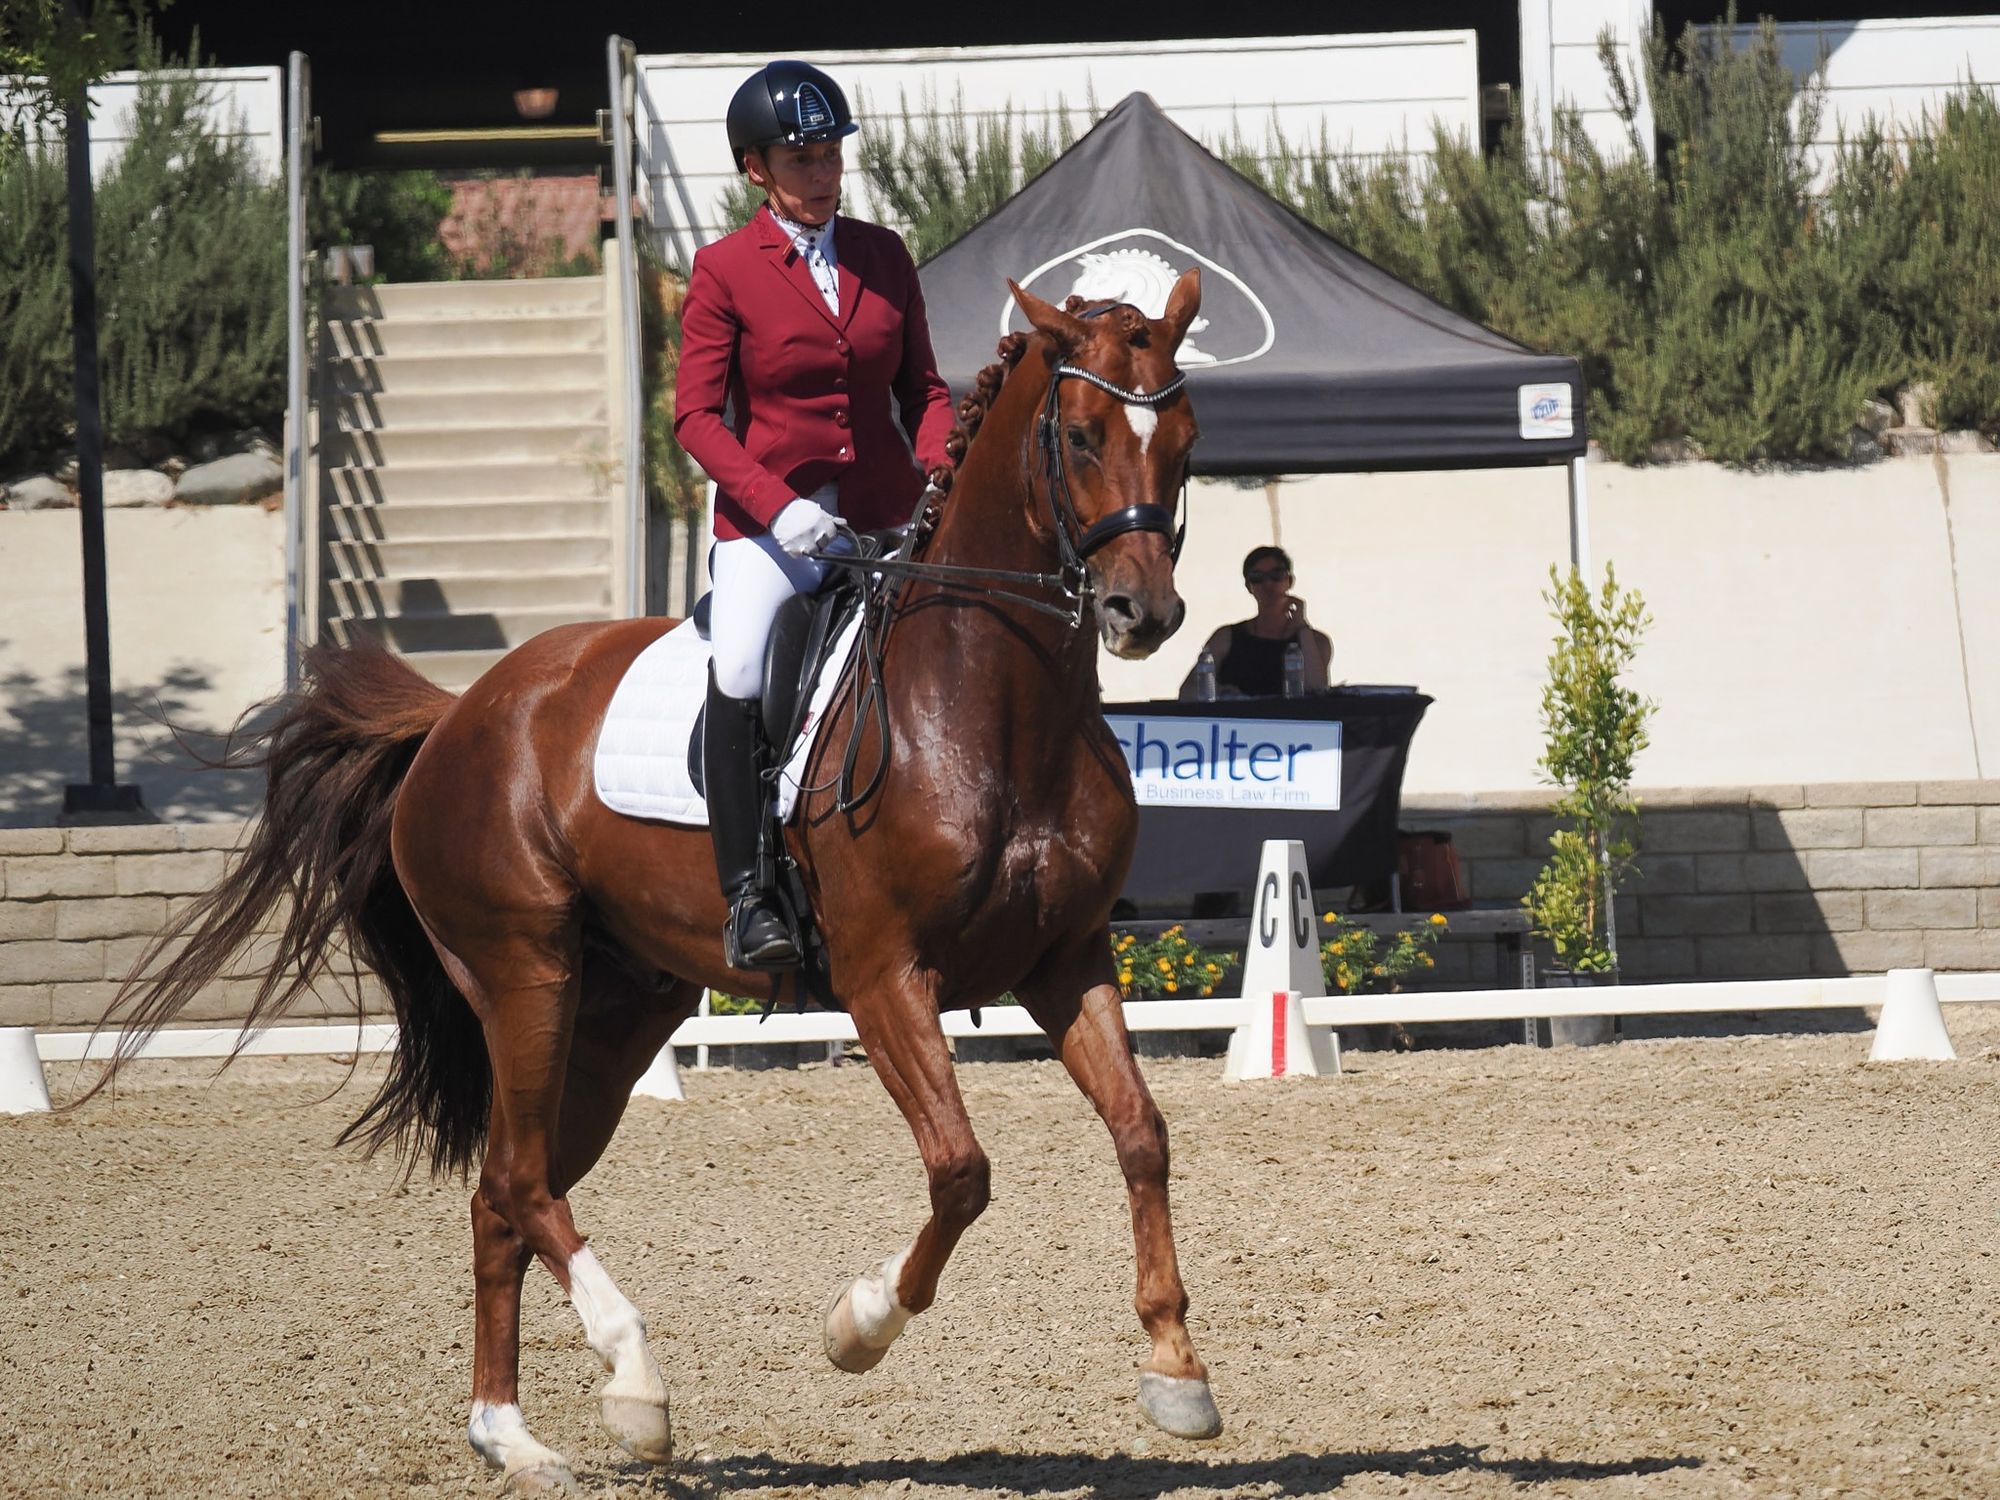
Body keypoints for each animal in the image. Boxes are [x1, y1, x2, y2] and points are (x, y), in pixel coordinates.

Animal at [109, 274, 1208, 1496]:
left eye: (1185, 443)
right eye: (1080, 434)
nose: (1144, 615)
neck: (992, 705)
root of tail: (460, 712)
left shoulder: (1067, 961)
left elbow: (1143, 1134)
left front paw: (1175, 1372)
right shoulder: (886, 978)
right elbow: (961, 1170)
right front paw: (858, 1326)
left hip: (617, 1010)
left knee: (505, 1190)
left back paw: (510, 1436)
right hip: (525, 976)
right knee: (525, 1183)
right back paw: (634, 1386)